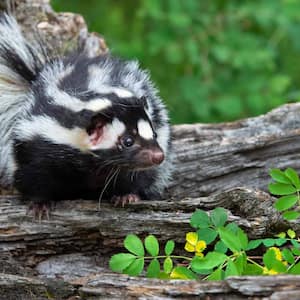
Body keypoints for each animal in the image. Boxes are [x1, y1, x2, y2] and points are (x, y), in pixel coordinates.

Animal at [0, 14, 171, 209]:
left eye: (154, 134)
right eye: (127, 141)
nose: (158, 156)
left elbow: (133, 177)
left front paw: (126, 196)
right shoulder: (40, 144)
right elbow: (34, 176)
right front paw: (39, 204)